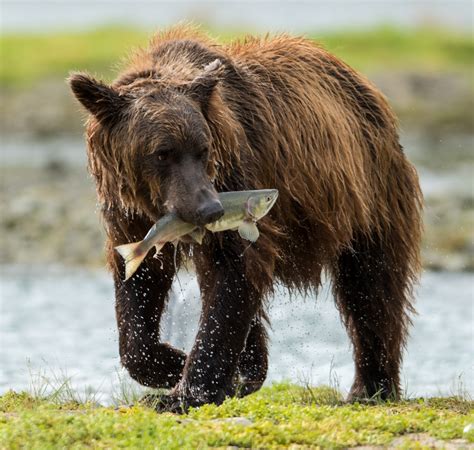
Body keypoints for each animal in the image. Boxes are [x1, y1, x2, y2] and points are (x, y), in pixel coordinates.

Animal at [69, 25, 422, 412]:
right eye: (162, 153)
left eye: (202, 149)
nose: (209, 209)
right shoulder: (129, 213)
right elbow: (142, 282)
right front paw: (176, 363)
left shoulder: (236, 174)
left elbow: (234, 271)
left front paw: (186, 390)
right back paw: (252, 366)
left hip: (370, 193)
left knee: (371, 284)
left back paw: (370, 386)